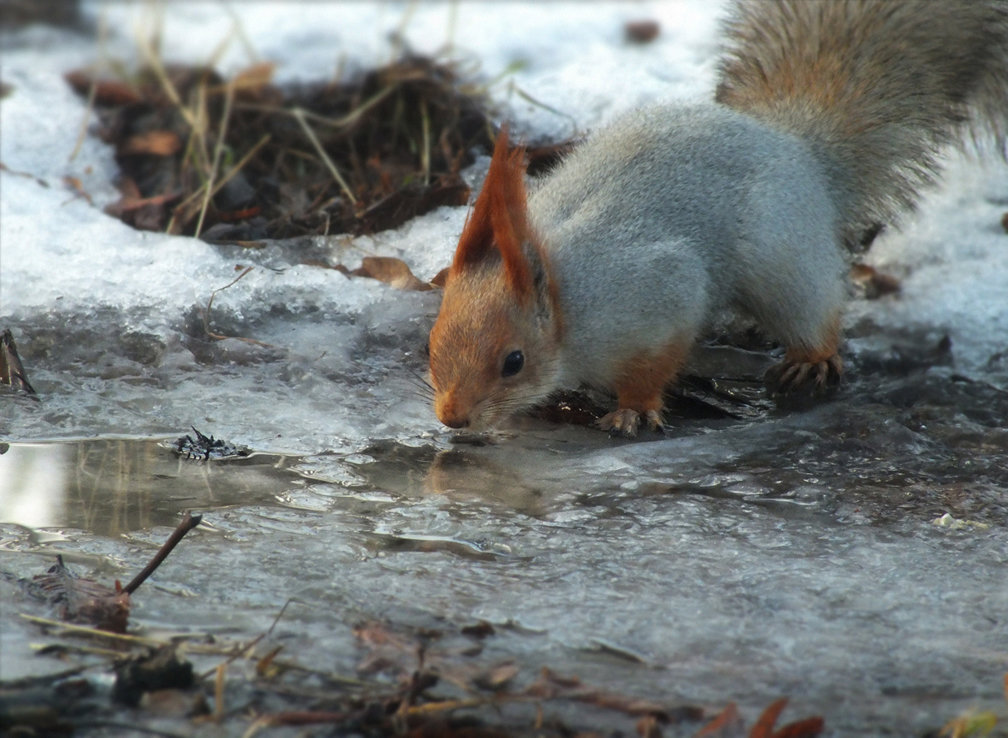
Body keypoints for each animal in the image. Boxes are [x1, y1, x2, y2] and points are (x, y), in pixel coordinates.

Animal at [427, 0, 1008, 435]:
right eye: (431, 342)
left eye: (514, 361)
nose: (453, 418)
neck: (566, 299)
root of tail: (796, 147)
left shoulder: (657, 299)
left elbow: (653, 365)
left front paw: (632, 410)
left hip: (782, 262)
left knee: (813, 310)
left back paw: (811, 357)